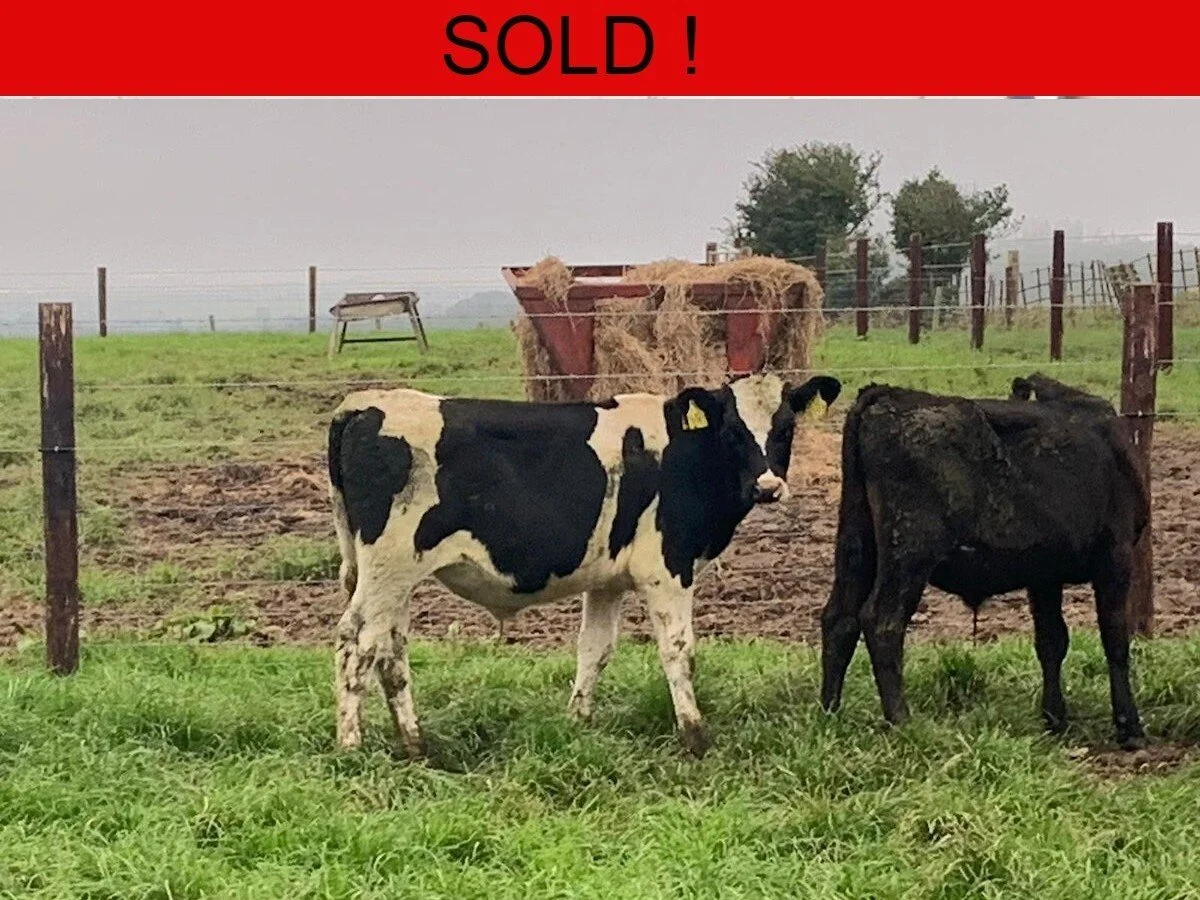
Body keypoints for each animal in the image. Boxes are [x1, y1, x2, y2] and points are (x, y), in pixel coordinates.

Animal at [327, 372, 842, 759]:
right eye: (734, 432)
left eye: (786, 428)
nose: (768, 487)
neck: (685, 454)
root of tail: (362, 405)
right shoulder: (668, 569)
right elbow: (678, 651)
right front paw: (695, 736)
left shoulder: (607, 582)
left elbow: (594, 649)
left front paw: (578, 723)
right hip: (388, 569)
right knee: (356, 642)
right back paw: (351, 745)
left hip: (393, 578)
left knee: (390, 650)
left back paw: (415, 743)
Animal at [819, 373, 1149, 749]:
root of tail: (889, 394)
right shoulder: (1115, 557)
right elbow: (1115, 640)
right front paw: (1129, 726)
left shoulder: (1044, 573)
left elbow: (1052, 641)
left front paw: (1054, 718)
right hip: (909, 552)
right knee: (882, 621)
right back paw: (901, 721)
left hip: (858, 547)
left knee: (839, 619)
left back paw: (829, 713)